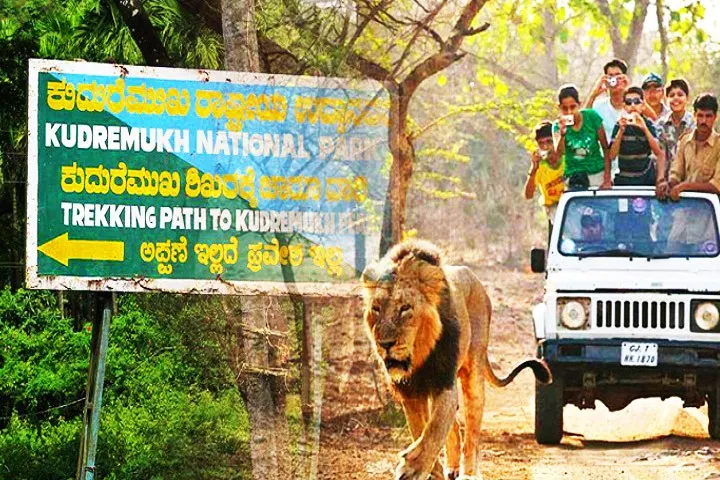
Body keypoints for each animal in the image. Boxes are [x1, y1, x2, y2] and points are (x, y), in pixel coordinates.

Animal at [360, 238, 552, 478]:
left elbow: (435, 428)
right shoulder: (410, 391)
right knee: (454, 427)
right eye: (376, 309)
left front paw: (412, 468)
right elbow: (421, 429)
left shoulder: (444, 380)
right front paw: (431, 470)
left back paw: (469, 472)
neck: (420, 357)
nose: (385, 344)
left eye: (405, 308)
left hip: (473, 373)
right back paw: (450, 467)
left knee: (471, 431)